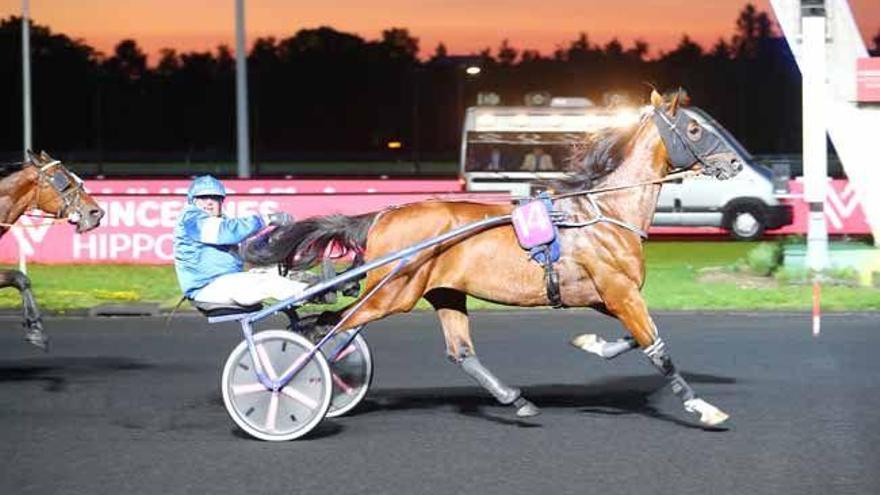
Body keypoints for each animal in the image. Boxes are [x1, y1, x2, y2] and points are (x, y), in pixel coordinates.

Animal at [246, 91, 744, 428]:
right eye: (695, 129)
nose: (737, 164)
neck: (605, 212)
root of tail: (384, 214)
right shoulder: (620, 292)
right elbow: (658, 349)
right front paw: (703, 407)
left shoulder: (607, 296)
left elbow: (635, 339)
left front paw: (591, 344)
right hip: (392, 293)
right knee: (333, 328)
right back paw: (286, 382)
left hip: (441, 292)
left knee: (456, 351)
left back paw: (516, 400)